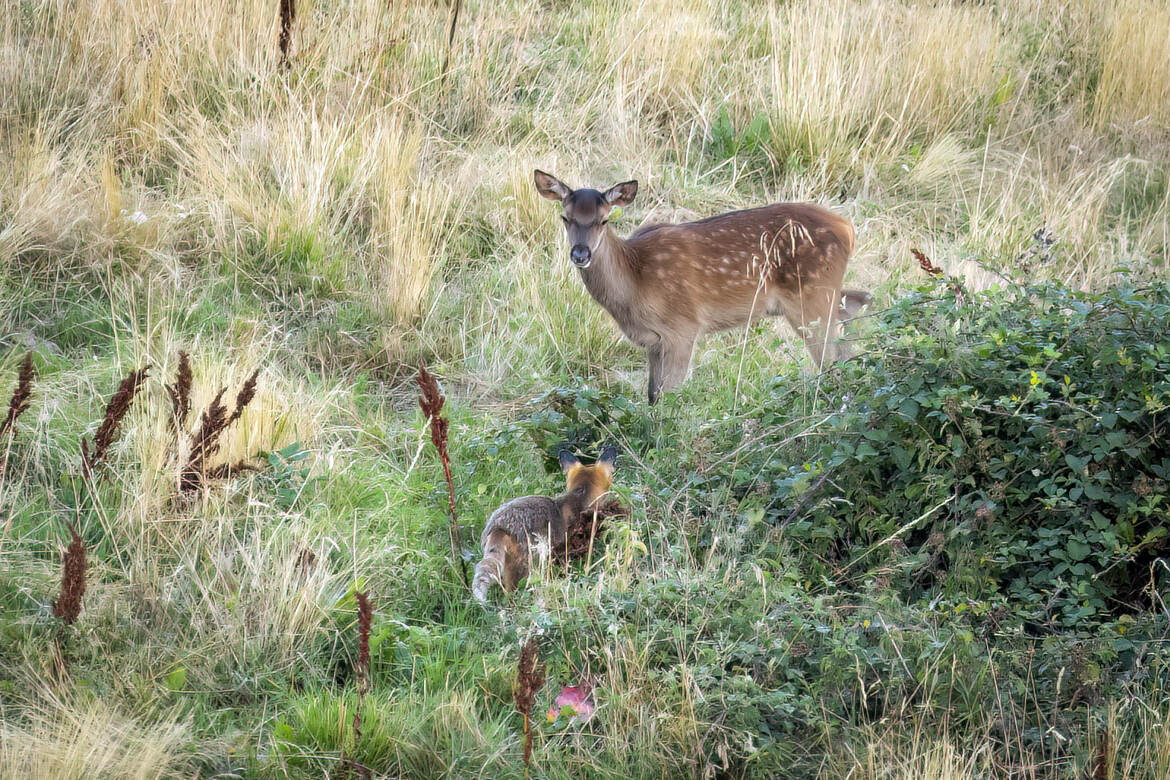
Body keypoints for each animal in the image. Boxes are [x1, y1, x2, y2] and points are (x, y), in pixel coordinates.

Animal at [533, 169, 870, 402]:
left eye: (604, 220)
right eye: (565, 217)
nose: (580, 254)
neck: (635, 283)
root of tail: (848, 228)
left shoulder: (683, 327)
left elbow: (668, 396)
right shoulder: (654, 342)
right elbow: (652, 396)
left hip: (811, 295)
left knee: (829, 354)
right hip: (821, 293)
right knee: (857, 300)